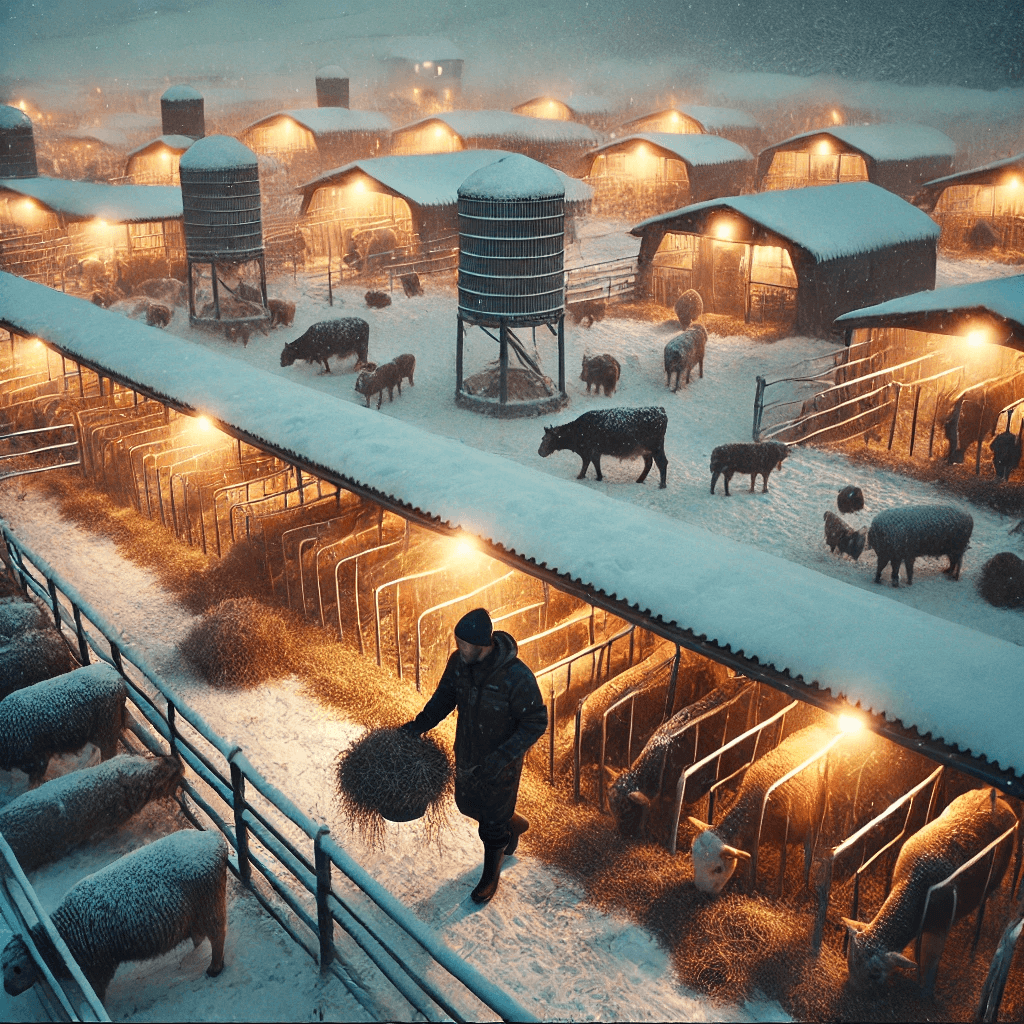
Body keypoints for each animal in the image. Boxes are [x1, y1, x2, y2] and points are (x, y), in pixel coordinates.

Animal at [2, 827, 229, 1003]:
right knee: (200, 934)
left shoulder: (97, 971)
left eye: (16, 969)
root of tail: (215, 838)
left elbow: (97, 996)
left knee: (218, 935)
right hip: (196, 913)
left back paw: (215, 968)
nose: (7, 991)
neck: (62, 935)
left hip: (210, 905)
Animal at [536, 407, 671, 487]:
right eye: (542, 438)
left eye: (547, 439)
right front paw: (596, 477)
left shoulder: (590, 451)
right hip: (646, 451)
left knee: (662, 462)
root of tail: (660, 410)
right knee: (649, 464)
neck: (577, 431)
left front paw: (584, 477)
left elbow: (589, 464)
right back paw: (639, 480)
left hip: (656, 447)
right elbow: (593, 464)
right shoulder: (592, 452)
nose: (539, 452)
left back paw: (662, 485)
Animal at [688, 720, 839, 897]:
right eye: (693, 859)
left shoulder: (784, 833)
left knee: (810, 847)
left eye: (718, 869)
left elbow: (782, 863)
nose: (701, 892)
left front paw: (776, 894)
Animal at [839, 786, 1015, 995]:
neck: (913, 886)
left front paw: (925, 993)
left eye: (875, 974)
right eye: (850, 958)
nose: (852, 989)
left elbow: (930, 963)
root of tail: (995, 795)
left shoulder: (940, 925)